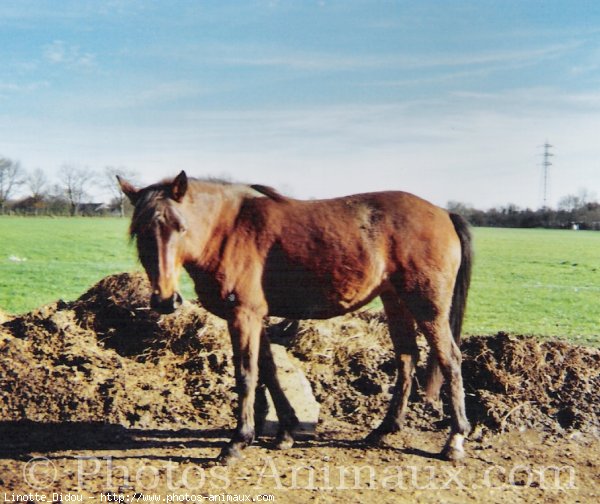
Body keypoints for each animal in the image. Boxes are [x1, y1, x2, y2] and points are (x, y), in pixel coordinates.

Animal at [118, 170, 474, 464]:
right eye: (139, 231)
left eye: (180, 227)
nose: (165, 300)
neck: (228, 230)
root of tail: (444, 213)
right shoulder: (257, 317)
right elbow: (269, 370)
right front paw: (286, 431)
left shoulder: (243, 315)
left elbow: (247, 375)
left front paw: (237, 442)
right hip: (396, 300)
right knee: (407, 357)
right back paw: (384, 430)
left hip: (428, 307)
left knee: (449, 359)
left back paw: (455, 439)